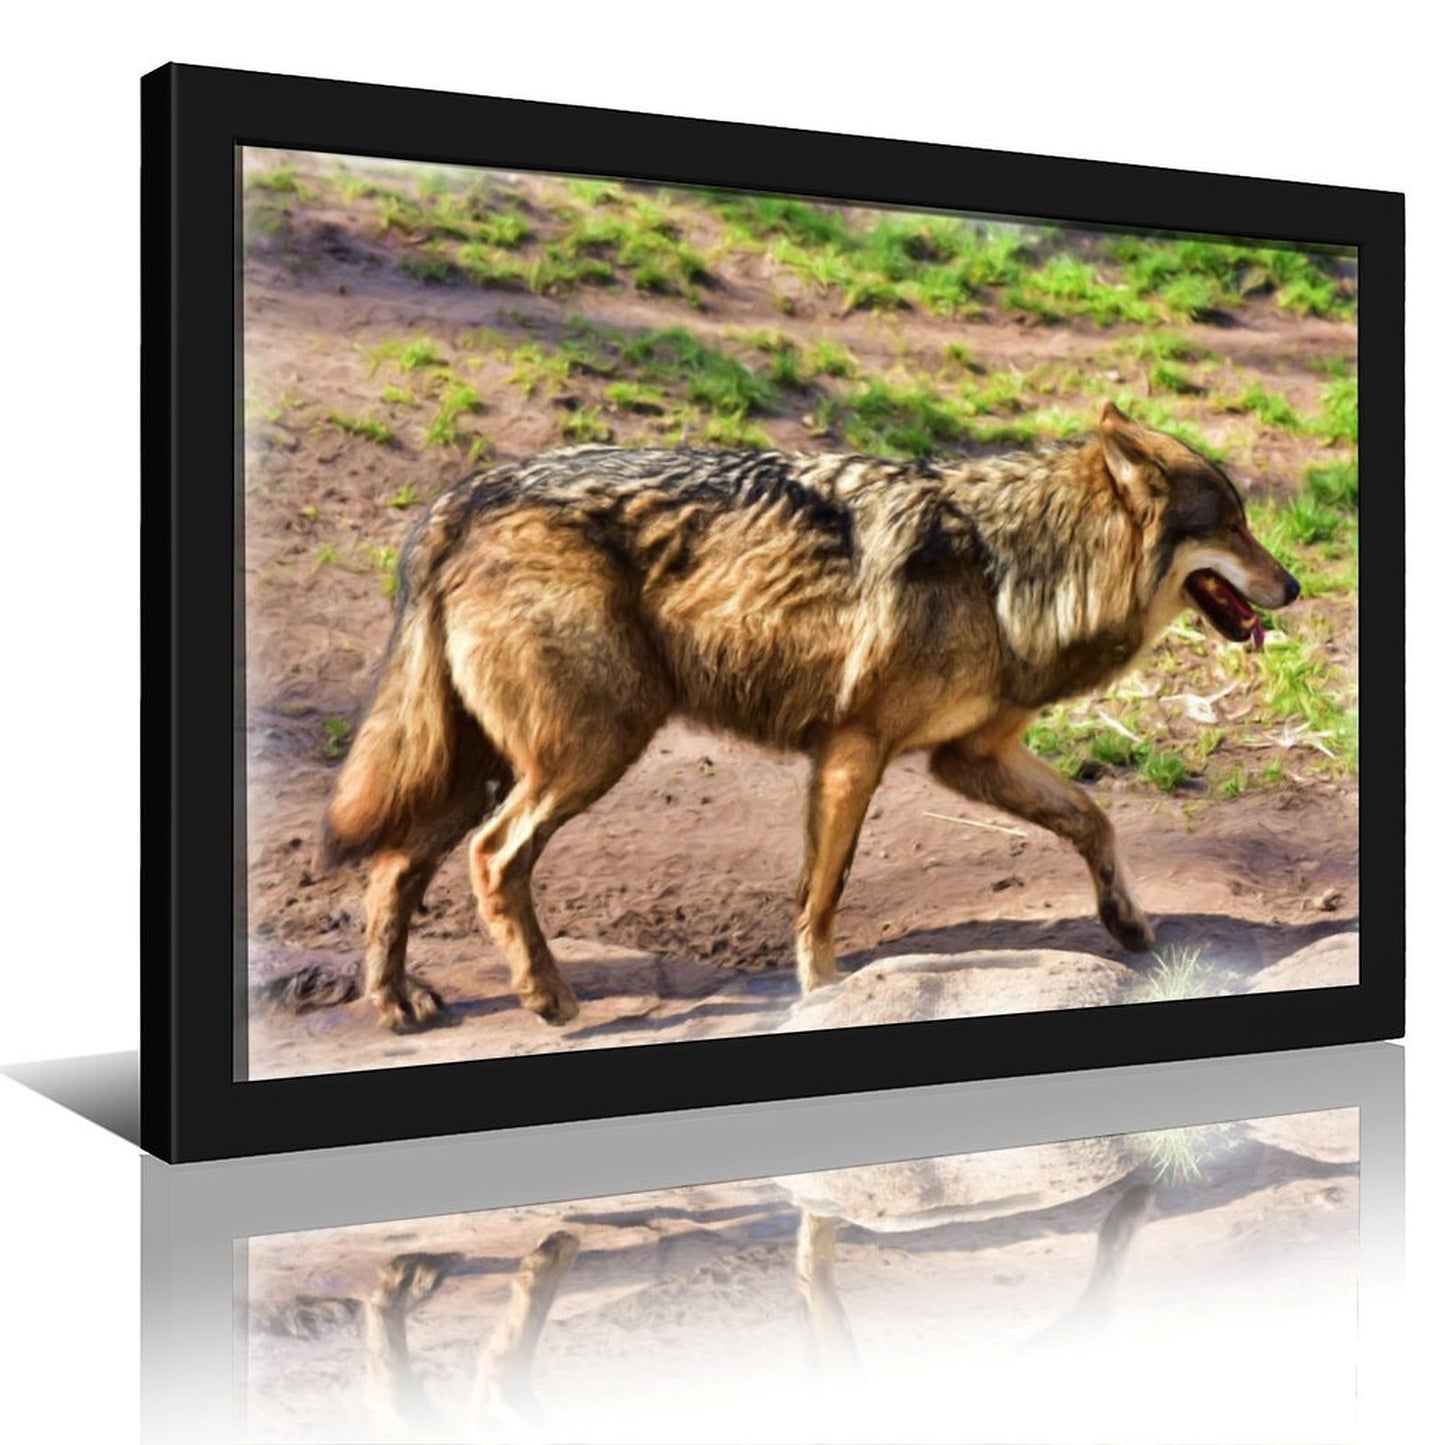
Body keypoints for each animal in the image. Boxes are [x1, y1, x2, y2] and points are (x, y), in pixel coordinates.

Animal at [322, 402, 1299, 1030]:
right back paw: (547, 999)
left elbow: (1094, 820)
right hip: (588, 752)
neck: (1010, 562)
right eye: (1234, 526)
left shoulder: (969, 758)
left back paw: (397, 1003)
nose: (1294, 585)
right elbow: (823, 890)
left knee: (394, 863)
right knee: (492, 859)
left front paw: (1126, 923)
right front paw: (822, 984)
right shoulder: (851, 750)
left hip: (490, 765)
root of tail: (464, 494)